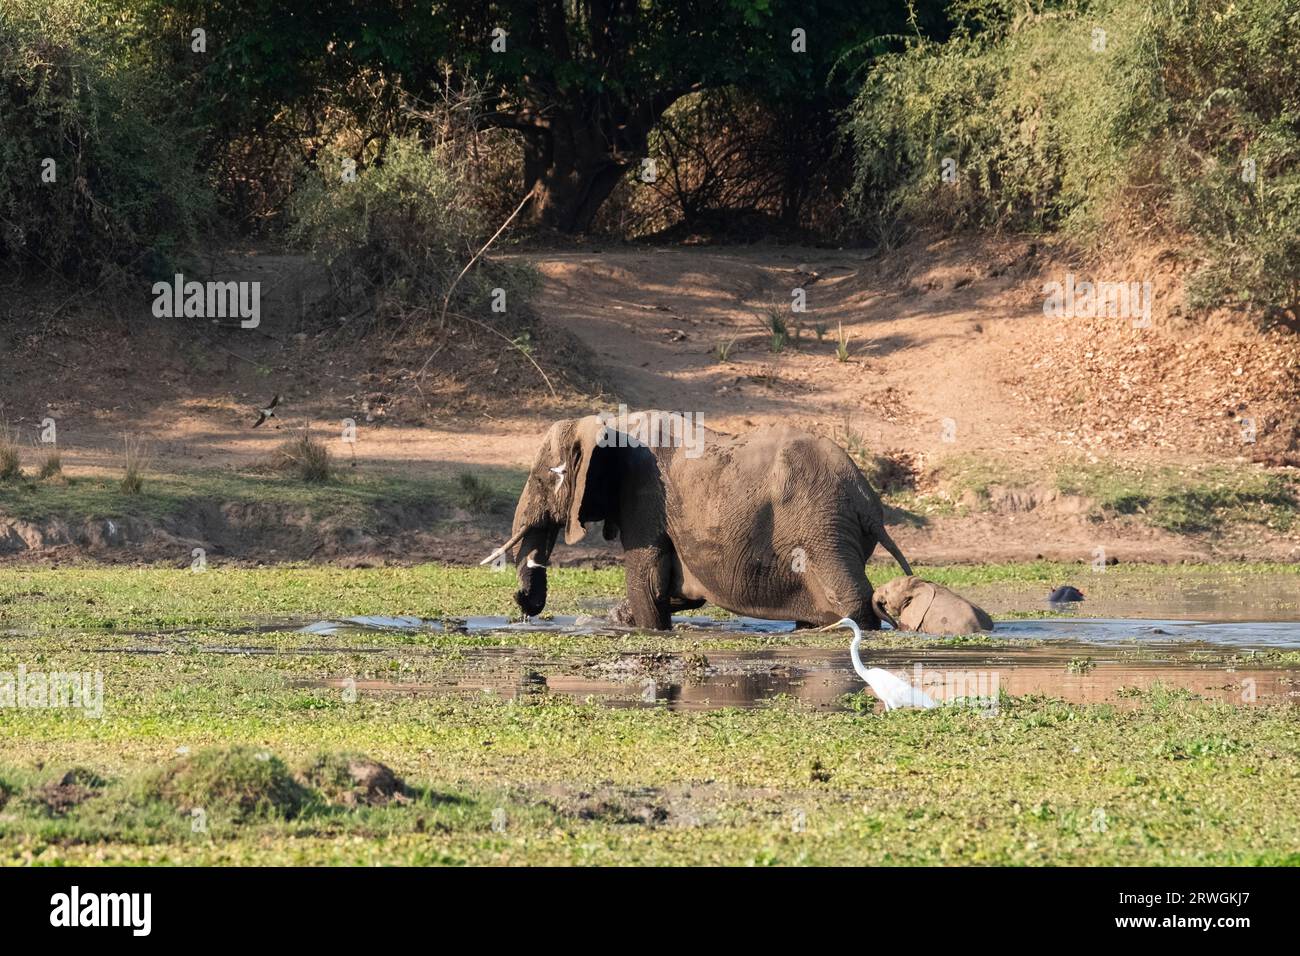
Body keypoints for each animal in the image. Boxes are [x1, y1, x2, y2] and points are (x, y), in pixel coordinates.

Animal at [486, 408, 915, 629]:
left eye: (541, 479)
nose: (521, 604)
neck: (609, 422)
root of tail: (867, 500)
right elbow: (672, 588)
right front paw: (622, 616)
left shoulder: (644, 494)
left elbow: (647, 582)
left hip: (822, 530)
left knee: (850, 597)